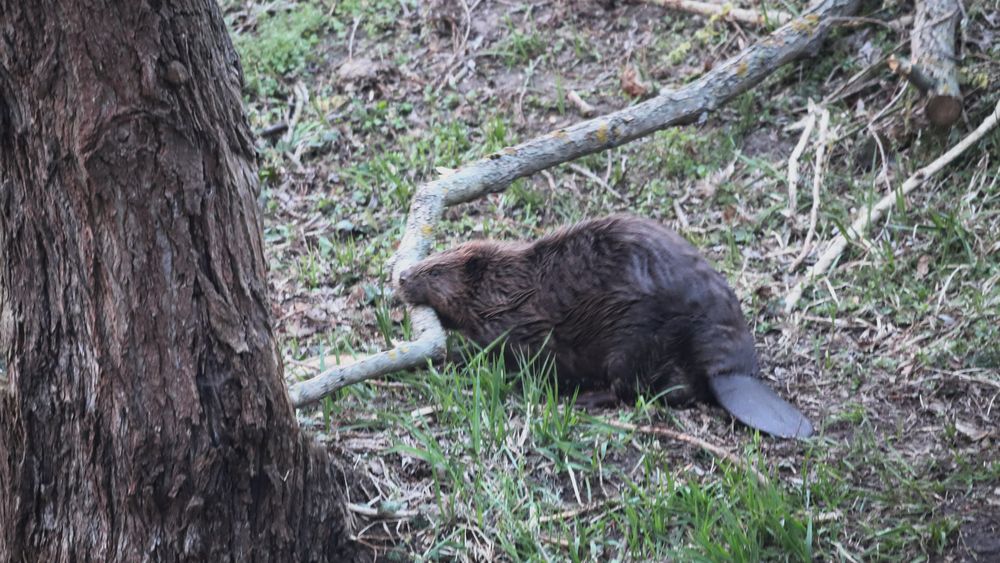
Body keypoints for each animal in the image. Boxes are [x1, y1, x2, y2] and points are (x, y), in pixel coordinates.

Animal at [396, 214, 812, 438]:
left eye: (434, 270)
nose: (401, 277)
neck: (512, 285)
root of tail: (731, 372)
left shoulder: (523, 325)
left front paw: (460, 359)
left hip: (634, 341)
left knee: (627, 389)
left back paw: (581, 399)